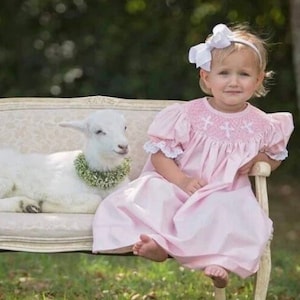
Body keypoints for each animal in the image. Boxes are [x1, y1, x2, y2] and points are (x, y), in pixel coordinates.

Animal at [0, 110, 130, 213]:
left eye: (124, 127)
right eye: (98, 131)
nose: (123, 146)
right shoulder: (57, 192)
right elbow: (96, 200)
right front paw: (47, 206)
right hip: (5, 181)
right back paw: (25, 204)